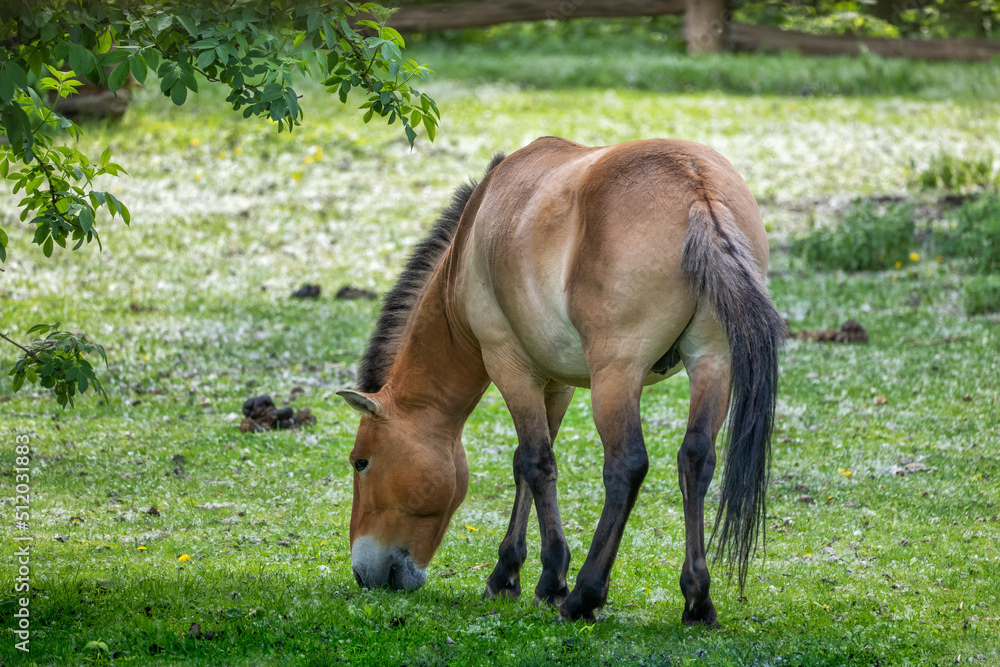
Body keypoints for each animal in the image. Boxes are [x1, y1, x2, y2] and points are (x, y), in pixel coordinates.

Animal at [338, 136, 783, 625]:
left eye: (361, 462)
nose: (362, 573)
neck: (470, 242)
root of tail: (696, 187)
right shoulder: (556, 382)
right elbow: (524, 464)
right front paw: (508, 575)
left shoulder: (510, 365)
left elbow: (537, 462)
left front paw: (548, 580)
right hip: (712, 362)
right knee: (696, 459)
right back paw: (697, 600)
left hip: (617, 373)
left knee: (626, 466)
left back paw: (584, 596)